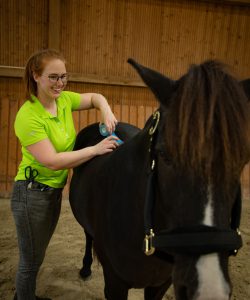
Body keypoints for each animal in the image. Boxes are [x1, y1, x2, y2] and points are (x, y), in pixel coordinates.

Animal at [69, 59, 250, 300]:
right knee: (88, 236)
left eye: (243, 159)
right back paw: (86, 268)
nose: (208, 288)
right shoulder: (115, 284)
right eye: (164, 154)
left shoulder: (161, 285)